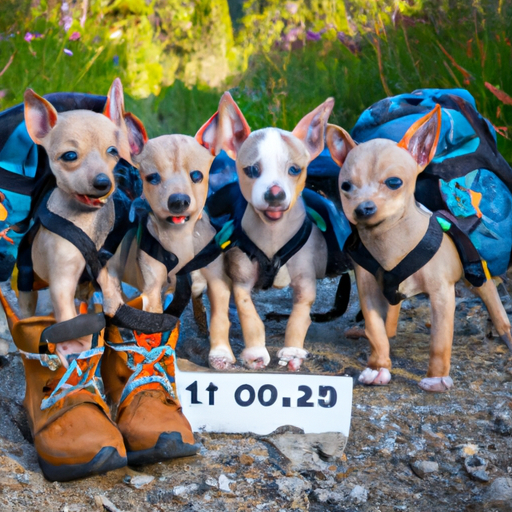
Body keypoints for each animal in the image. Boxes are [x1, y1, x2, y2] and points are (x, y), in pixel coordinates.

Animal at [20, 79, 136, 368]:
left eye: (113, 151)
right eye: (69, 156)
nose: (104, 182)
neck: (86, 223)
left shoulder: (108, 270)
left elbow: (113, 296)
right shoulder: (61, 280)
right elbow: (66, 314)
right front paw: (74, 345)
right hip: (27, 278)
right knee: (28, 306)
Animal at [197, 93, 336, 372]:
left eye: (295, 170)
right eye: (252, 170)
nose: (275, 194)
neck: (273, 237)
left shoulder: (306, 283)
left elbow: (299, 317)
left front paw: (292, 351)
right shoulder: (241, 283)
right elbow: (250, 316)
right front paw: (255, 353)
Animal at [326, 105, 512, 392]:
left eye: (394, 182)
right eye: (345, 186)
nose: (363, 208)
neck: (388, 242)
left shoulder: (442, 295)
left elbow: (440, 341)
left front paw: (436, 378)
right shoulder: (368, 291)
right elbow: (375, 331)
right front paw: (377, 367)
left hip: (478, 278)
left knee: (493, 303)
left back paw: (506, 334)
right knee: (390, 317)